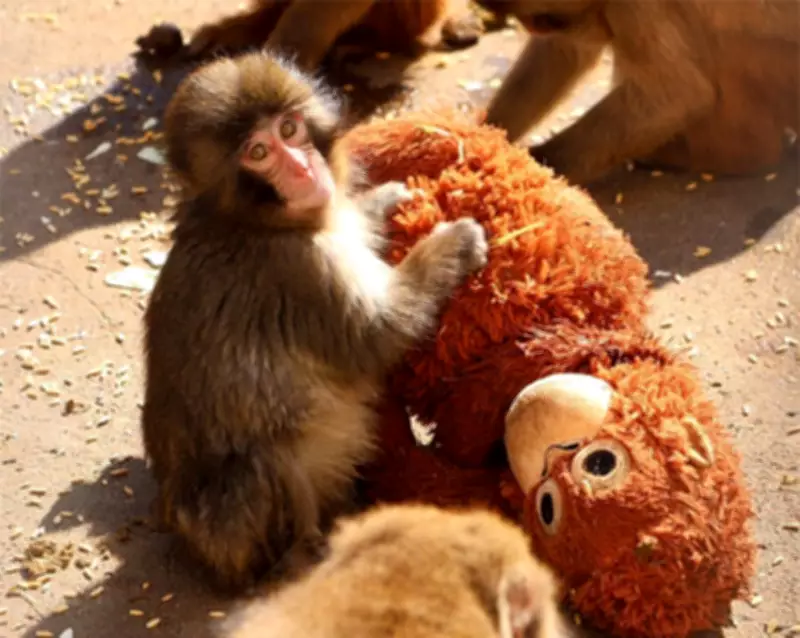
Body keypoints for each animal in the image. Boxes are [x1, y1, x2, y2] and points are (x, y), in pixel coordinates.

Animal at [141, 51, 489, 593]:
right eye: (259, 152)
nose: (304, 168)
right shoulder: (299, 270)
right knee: (262, 463)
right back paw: (302, 555)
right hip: (231, 531)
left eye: (290, 128)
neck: (254, 222)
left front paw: (384, 201)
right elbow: (378, 335)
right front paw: (452, 244)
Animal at [480, 0, 800, 184]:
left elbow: (678, 95)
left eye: (542, 19)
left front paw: (535, 170)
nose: (532, 27)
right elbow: (565, 51)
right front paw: (486, 134)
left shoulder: (636, 4)